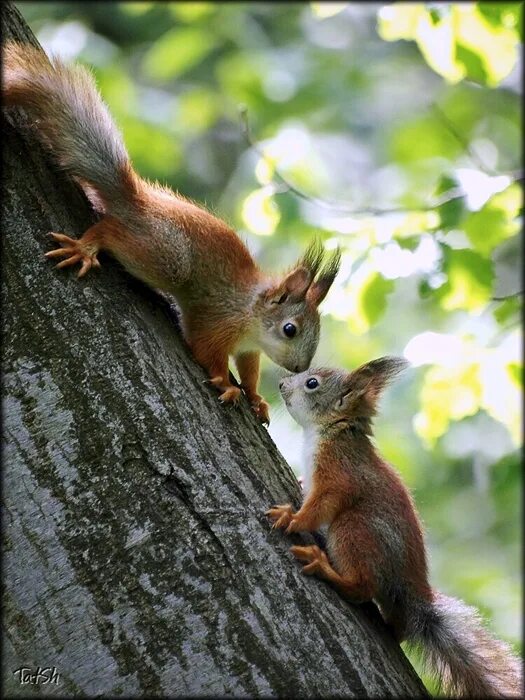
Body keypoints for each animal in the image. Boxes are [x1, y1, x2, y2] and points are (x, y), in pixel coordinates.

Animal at [3, 43, 340, 426]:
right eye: (290, 329)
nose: (299, 367)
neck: (250, 315)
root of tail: (136, 201)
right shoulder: (218, 323)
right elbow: (207, 353)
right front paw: (227, 386)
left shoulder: (248, 349)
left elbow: (250, 371)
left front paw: (256, 399)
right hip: (165, 256)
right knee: (112, 230)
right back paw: (87, 247)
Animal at [268, 358, 520, 696]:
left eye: (312, 383)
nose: (281, 384)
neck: (333, 432)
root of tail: (415, 601)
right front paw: (297, 482)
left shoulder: (339, 473)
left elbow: (322, 504)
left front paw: (293, 519)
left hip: (355, 530)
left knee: (362, 586)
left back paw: (325, 567)